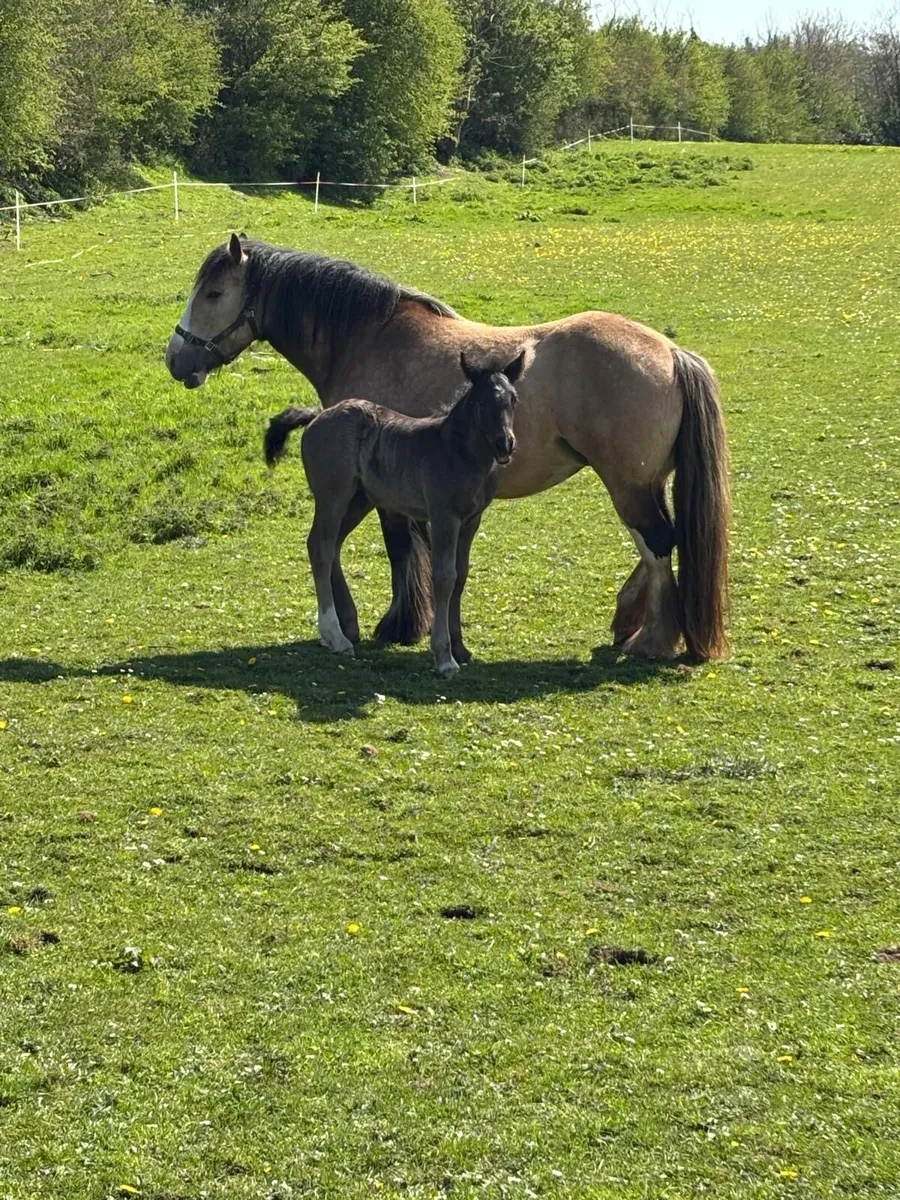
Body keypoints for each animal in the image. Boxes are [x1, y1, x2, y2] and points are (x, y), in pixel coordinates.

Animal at [263, 351, 525, 675]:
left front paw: (460, 648)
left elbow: (461, 575)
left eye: (513, 399)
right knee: (320, 546)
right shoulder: (444, 517)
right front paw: (444, 657)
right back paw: (335, 636)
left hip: (359, 501)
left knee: (330, 545)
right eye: (479, 403)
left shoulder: (471, 520)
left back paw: (338, 631)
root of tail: (318, 416)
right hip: (332, 496)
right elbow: (444, 576)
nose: (505, 444)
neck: (456, 451)